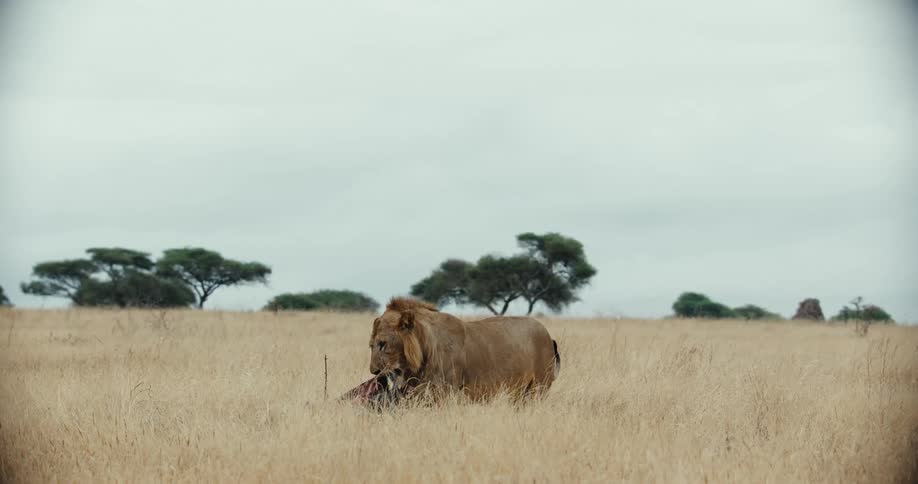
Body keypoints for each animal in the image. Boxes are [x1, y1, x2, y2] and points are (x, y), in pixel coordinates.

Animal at [365, 297, 560, 402]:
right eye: (371, 345)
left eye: (382, 344)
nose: (374, 372)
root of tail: (548, 336)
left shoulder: (443, 392)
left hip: (538, 388)